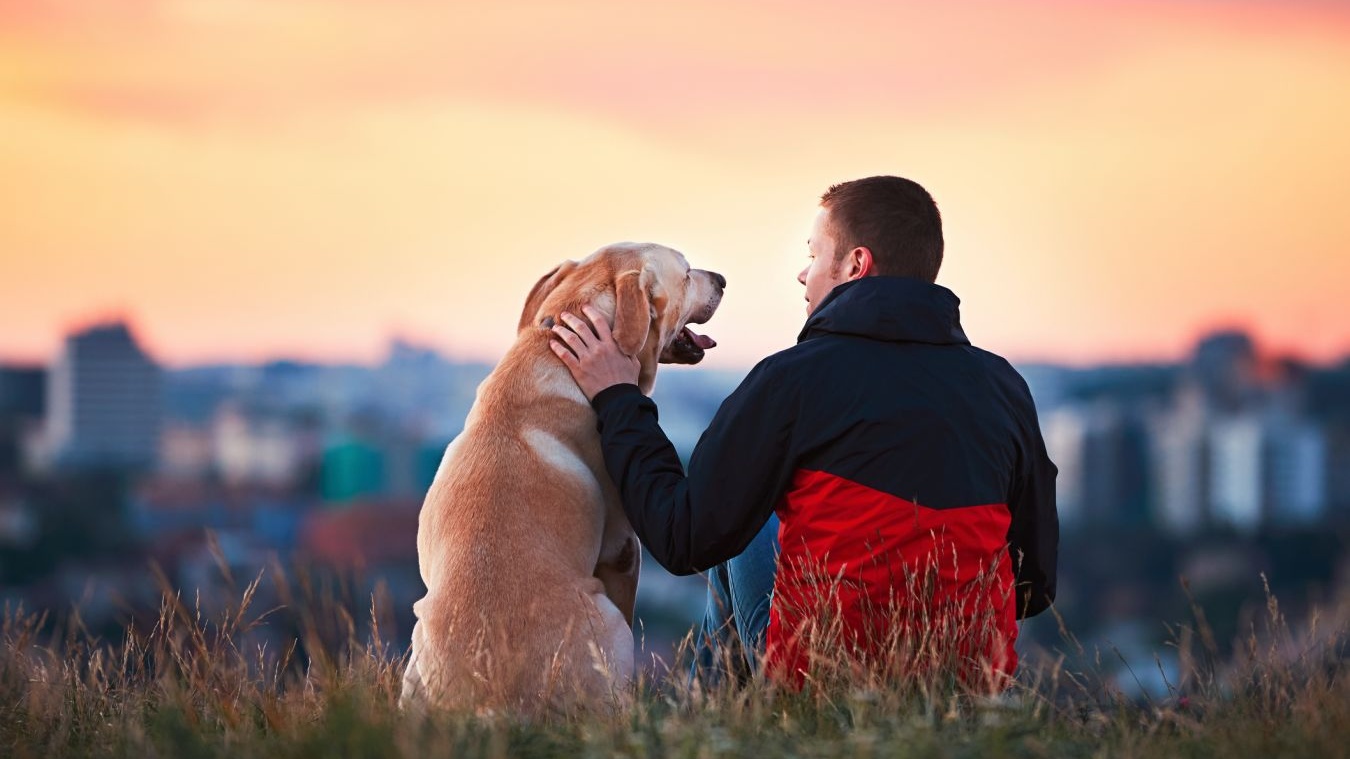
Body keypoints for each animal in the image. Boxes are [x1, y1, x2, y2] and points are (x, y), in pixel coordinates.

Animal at [402, 239, 729, 713]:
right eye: (686, 274)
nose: (722, 279)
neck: (554, 348)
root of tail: (490, 702)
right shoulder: (623, 548)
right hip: (607, 624)